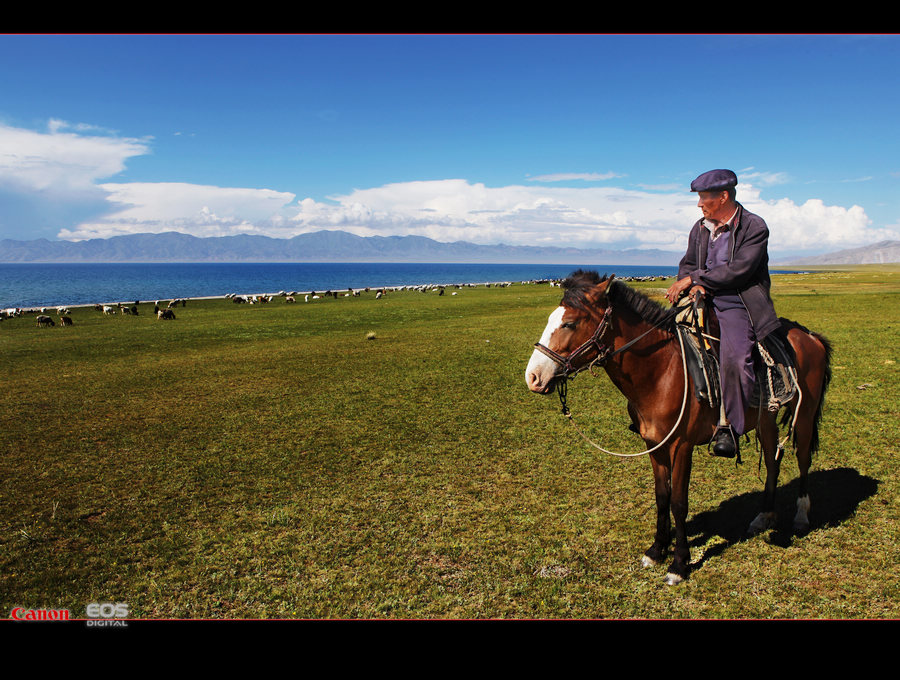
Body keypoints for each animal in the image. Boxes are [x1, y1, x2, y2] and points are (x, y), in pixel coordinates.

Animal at [525, 270, 832, 585]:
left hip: (805, 414)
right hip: (766, 419)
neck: (662, 372)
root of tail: (809, 336)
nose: (533, 377)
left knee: (803, 458)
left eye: (570, 323)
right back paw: (764, 516)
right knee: (772, 461)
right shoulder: (654, 445)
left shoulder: (682, 446)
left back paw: (801, 516)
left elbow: (679, 502)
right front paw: (656, 550)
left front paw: (679, 564)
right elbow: (662, 497)